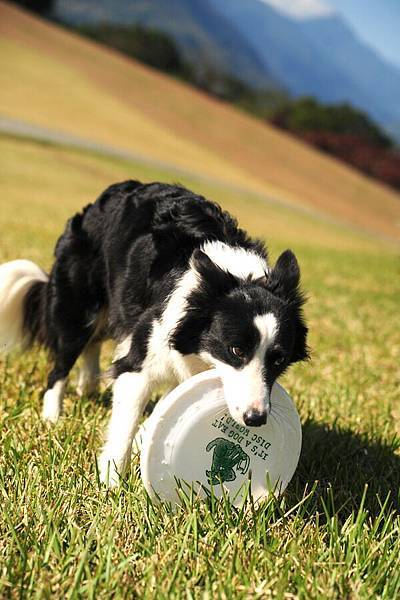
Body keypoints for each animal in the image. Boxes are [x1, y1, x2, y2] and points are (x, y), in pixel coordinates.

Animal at [0, 180, 310, 486]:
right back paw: (52, 416)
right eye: (236, 350)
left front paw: (144, 440)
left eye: (278, 360)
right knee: (62, 363)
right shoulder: (143, 358)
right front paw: (111, 483)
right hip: (76, 307)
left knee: (93, 344)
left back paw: (87, 385)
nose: (255, 419)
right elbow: (125, 420)